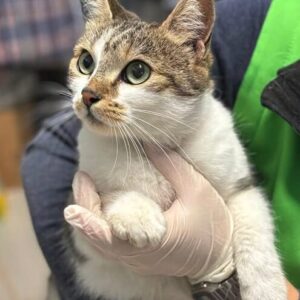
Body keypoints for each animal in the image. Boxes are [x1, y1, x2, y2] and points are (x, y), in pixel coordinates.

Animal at [67, 0, 286, 298]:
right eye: (86, 62)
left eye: (137, 72)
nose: (88, 95)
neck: (154, 142)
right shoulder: (85, 246)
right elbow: (96, 208)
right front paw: (136, 212)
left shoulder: (241, 185)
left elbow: (254, 229)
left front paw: (266, 287)